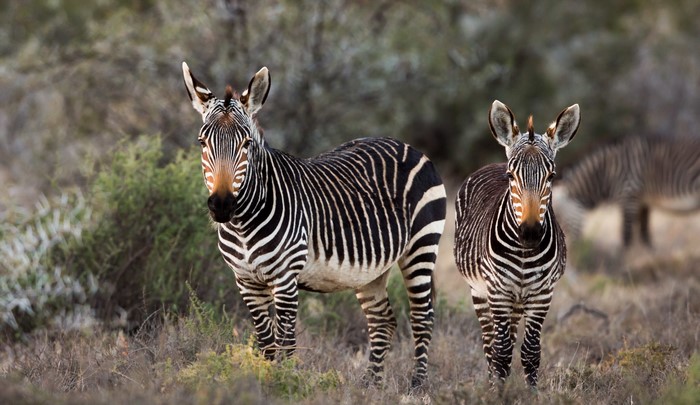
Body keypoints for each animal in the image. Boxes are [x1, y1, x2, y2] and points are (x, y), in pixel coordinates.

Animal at [181, 62, 446, 388]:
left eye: (246, 144)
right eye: (202, 142)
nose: (221, 205)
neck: (243, 224)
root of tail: (407, 145)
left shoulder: (285, 279)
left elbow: (286, 343)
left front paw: (283, 384)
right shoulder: (246, 282)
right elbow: (266, 343)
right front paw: (265, 383)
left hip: (422, 245)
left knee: (422, 317)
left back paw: (416, 385)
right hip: (370, 269)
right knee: (382, 320)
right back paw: (370, 385)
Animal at [454, 100, 580, 387]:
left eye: (551, 176)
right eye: (511, 176)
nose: (530, 233)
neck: (524, 254)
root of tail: (492, 163)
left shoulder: (542, 294)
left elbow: (531, 352)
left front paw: (530, 392)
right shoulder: (497, 291)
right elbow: (499, 352)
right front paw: (498, 392)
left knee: (509, 339)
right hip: (480, 292)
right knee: (490, 343)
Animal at [553, 136, 700, 249]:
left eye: (560, 221)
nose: (572, 252)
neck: (609, 171)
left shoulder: (629, 197)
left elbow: (627, 236)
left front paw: (625, 263)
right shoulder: (642, 202)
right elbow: (644, 233)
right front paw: (648, 256)